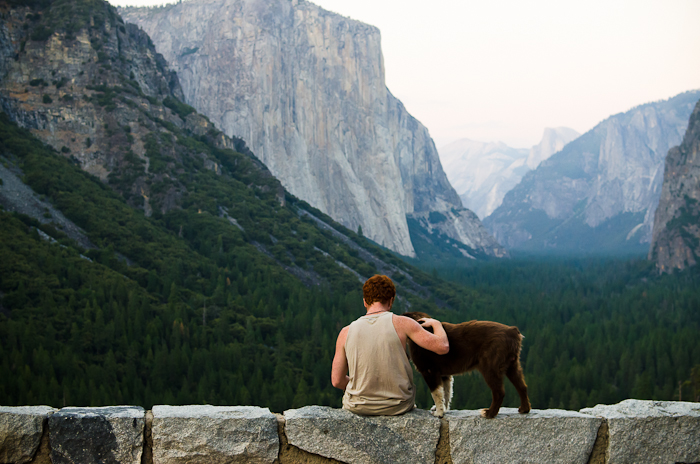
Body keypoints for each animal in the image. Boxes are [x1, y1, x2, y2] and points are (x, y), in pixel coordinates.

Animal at [404, 312, 532, 416]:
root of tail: (512, 331)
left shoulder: (429, 371)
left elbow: (436, 394)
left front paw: (439, 413)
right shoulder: (444, 374)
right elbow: (446, 394)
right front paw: (443, 410)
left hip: (490, 367)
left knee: (499, 392)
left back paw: (490, 413)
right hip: (512, 365)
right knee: (522, 386)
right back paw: (524, 409)